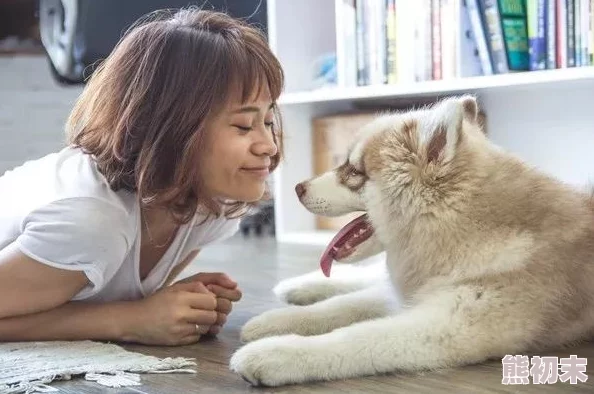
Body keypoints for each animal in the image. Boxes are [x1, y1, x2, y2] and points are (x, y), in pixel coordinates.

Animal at [228, 96, 592, 388]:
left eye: (354, 171)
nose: (297, 188)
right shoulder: (413, 294)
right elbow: (339, 307)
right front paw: (272, 322)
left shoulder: (447, 324)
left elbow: (357, 336)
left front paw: (275, 352)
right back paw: (297, 287)